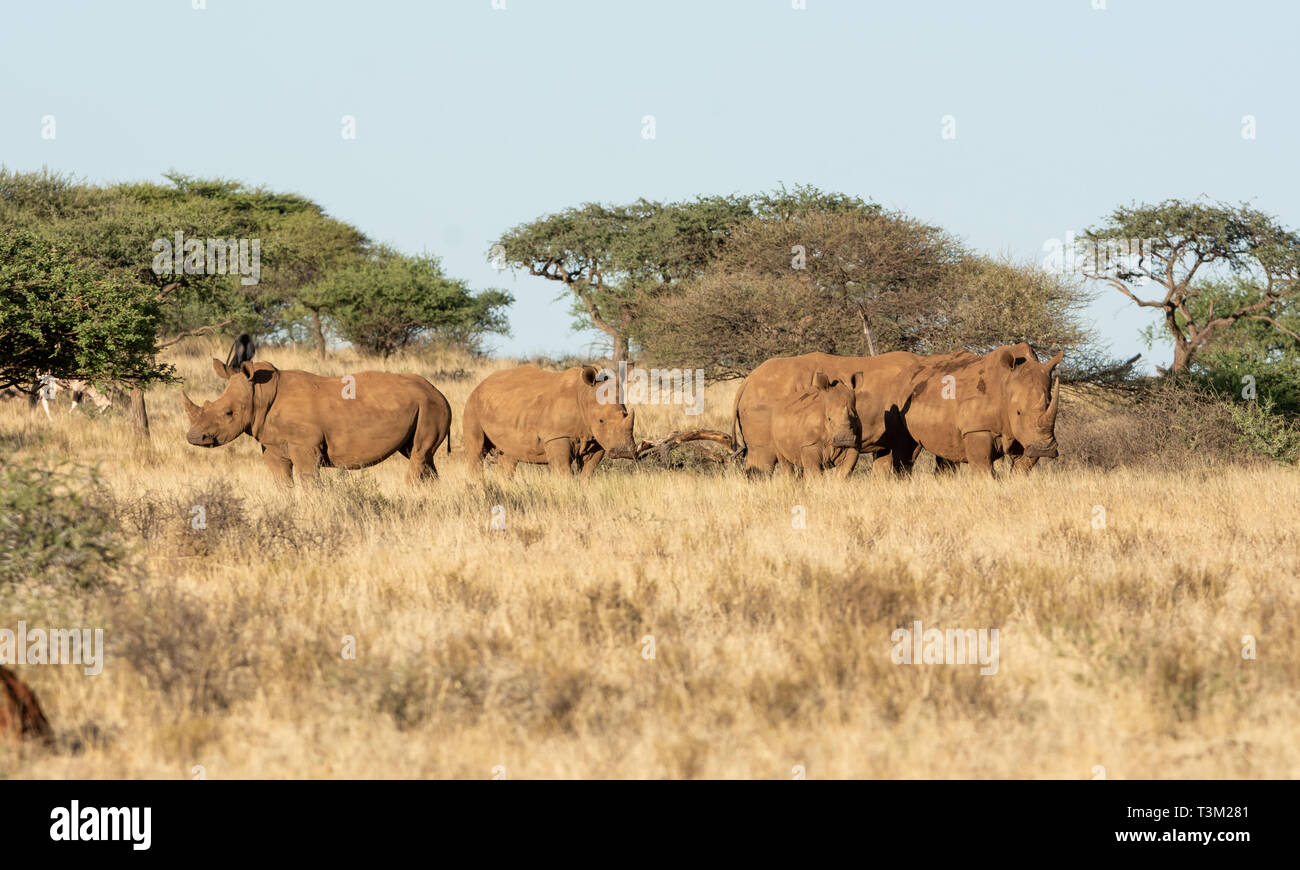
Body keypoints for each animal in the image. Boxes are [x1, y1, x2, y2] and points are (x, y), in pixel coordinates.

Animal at [180, 358, 449, 486]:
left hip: (431, 406)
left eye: (228, 413)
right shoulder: (272, 445)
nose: (193, 438)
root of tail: (438, 391)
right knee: (422, 455)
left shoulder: (306, 446)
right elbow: (282, 482)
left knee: (419, 454)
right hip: (424, 405)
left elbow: (309, 480)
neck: (260, 394)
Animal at [465, 364, 637, 478]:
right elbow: (563, 471)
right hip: (473, 403)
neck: (584, 395)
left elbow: (587, 472)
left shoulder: (596, 439)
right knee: (477, 450)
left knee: (508, 455)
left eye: (625, 414)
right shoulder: (557, 436)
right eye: (601, 420)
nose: (625, 452)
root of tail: (481, 383)